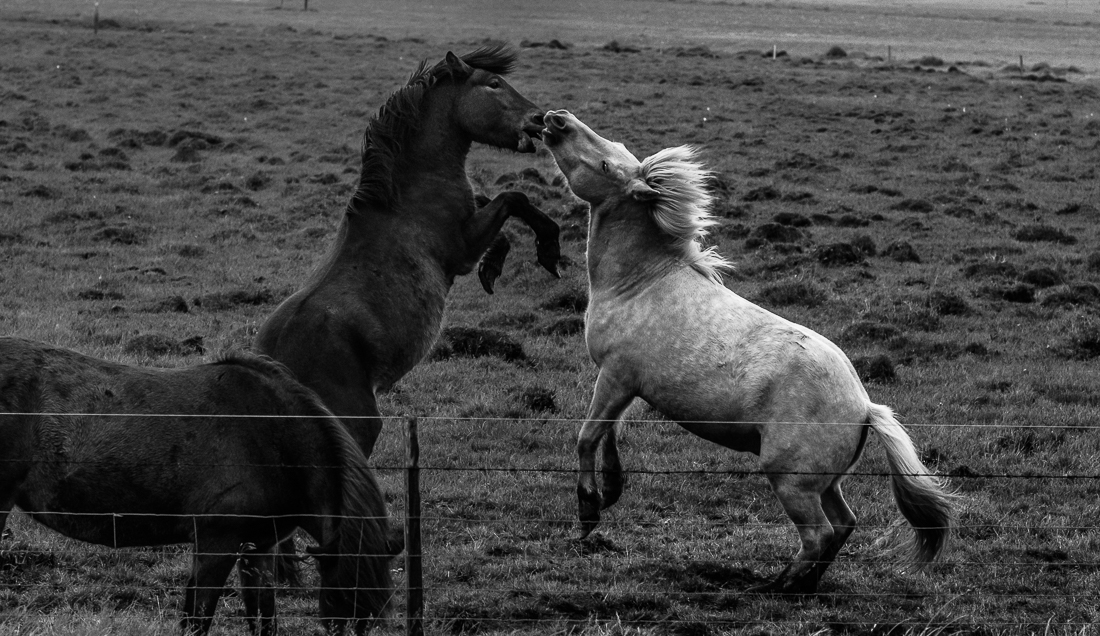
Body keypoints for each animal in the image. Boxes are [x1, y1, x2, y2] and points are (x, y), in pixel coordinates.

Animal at [0, 337, 396, 635]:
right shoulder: (215, 543)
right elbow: (197, 619)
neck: (272, 437)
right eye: (341, 601)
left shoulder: (259, 548)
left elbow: (264, 619)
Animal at [255, 45, 560, 460]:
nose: (539, 118)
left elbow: (499, 207)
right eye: (494, 83)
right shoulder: (460, 250)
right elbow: (514, 197)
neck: (409, 193)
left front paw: (495, 268)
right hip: (358, 425)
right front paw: (549, 249)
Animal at [540, 110, 954, 595]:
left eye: (607, 164)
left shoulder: (615, 375)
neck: (639, 284)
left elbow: (587, 436)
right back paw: (805, 585)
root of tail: (865, 408)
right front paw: (611, 489)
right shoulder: (626, 385)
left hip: (791, 481)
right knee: (844, 524)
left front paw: (588, 510)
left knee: (819, 534)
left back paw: (777, 586)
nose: (556, 120)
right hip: (824, 484)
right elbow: (610, 436)